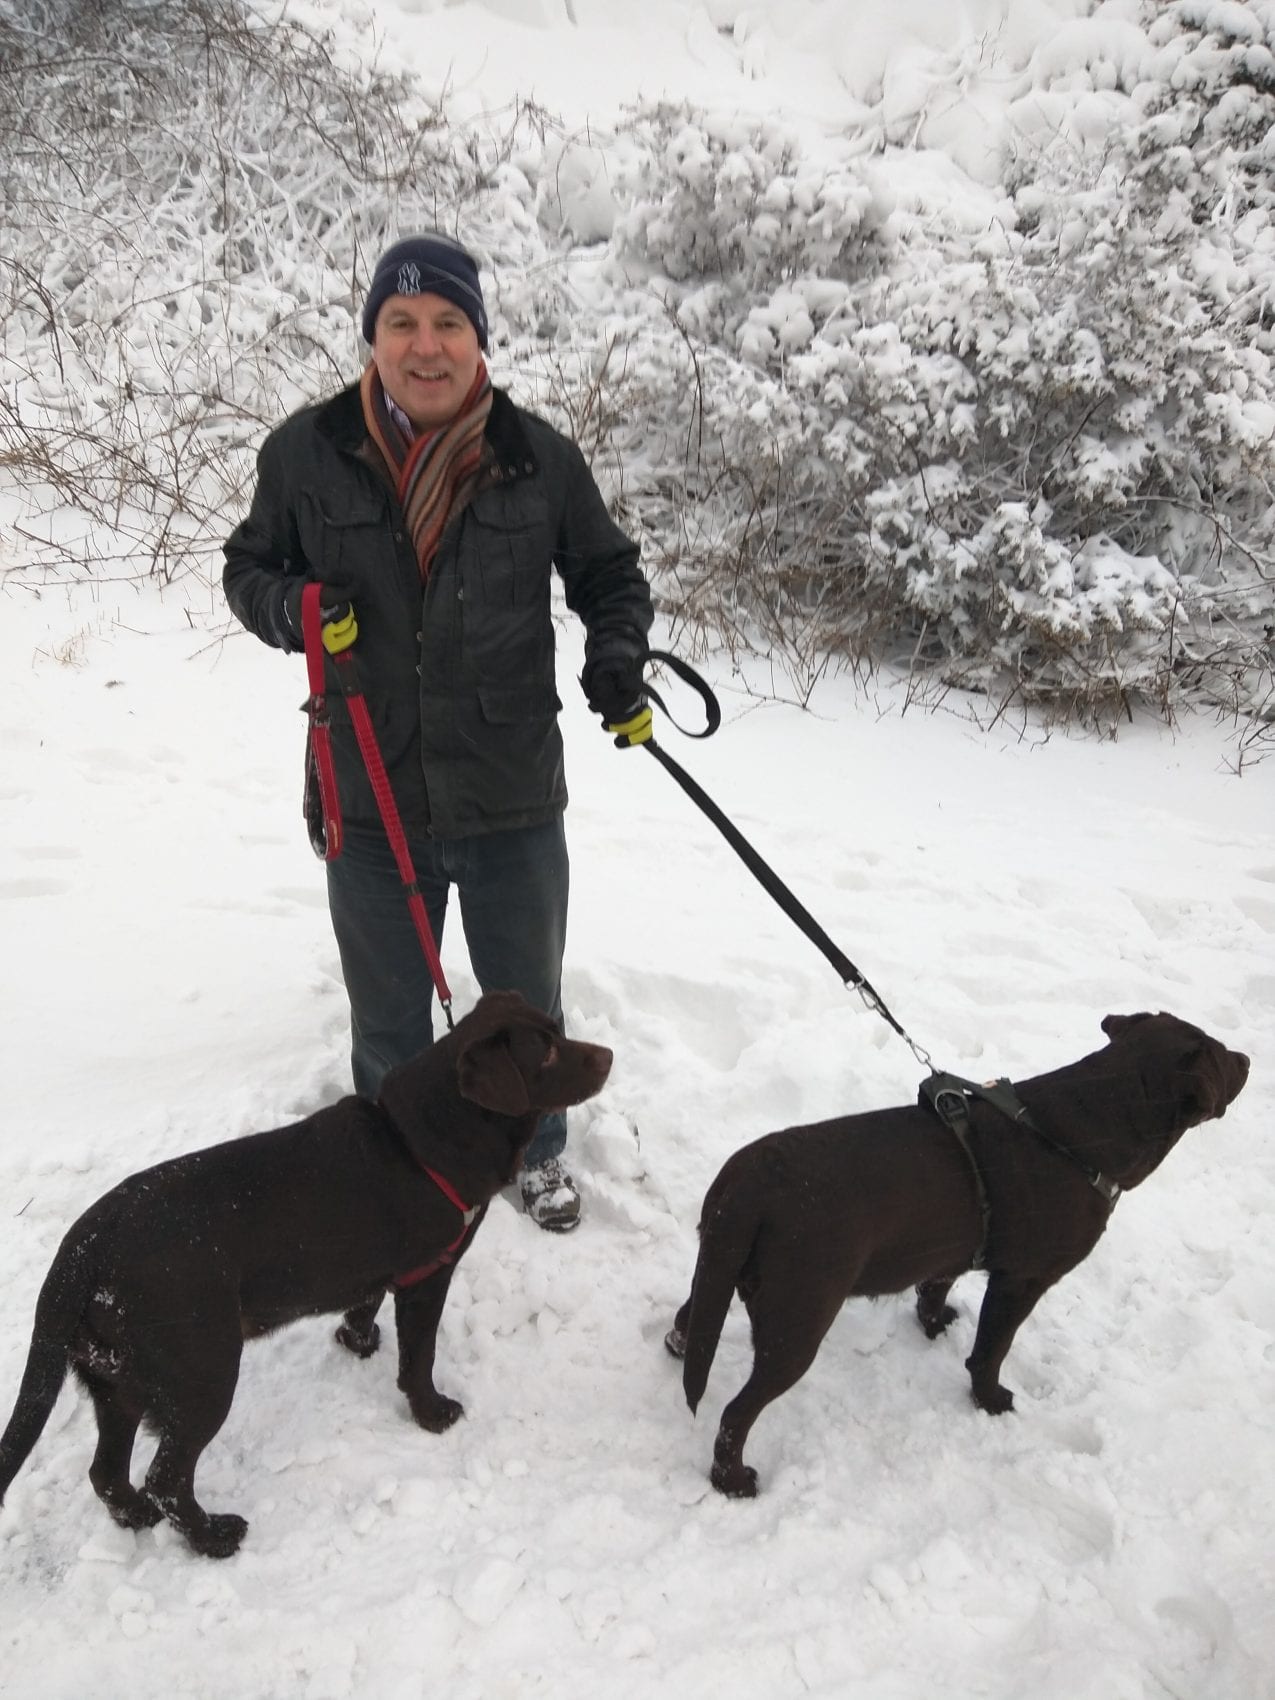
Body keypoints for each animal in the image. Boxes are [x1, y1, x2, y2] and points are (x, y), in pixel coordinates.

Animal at [0, 992, 615, 1557]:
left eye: (555, 1030)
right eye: (546, 1052)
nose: (608, 1056)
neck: (419, 1140)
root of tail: (82, 1252)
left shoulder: (374, 1271)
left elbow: (363, 1303)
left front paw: (356, 1341)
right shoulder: (427, 1276)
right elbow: (418, 1359)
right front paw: (432, 1413)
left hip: (115, 1380)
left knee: (106, 1473)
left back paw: (134, 1518)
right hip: (201, 1374)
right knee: (165, 1479)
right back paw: (214, 1537)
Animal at [669, 1013, 1251, 1496]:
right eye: (1221, 1054)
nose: (1248, 1059)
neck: (1081, 1132)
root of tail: (747, 1185)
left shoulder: (948, 1251)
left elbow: (934, 1289)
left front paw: (935, 1324)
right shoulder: (1023, 1280)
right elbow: (991, 1349)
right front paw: (990, 1400)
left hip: (719, 1270)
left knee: (689, 1324)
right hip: (797, 1323)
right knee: (735, 1414)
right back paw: (733, 1481)